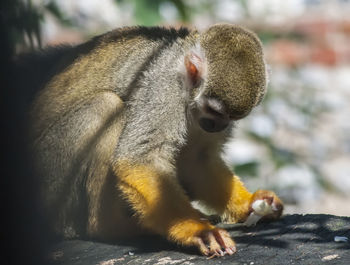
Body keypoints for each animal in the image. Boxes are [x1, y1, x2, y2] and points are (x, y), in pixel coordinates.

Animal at [22, 24, 284, 256]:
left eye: (232, 118)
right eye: (214, 111)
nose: (218, 126)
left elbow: (197, 160)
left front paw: (250, 204)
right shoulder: (163, 88)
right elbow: (141, 158)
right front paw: (199, 231)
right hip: (50, 181)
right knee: (103, 106)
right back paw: (110, 226)